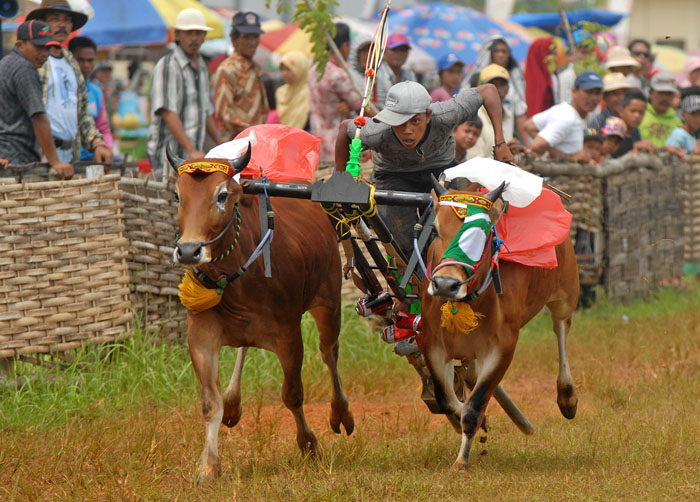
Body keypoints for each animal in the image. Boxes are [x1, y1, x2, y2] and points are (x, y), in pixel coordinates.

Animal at [167, 148, 352, 482]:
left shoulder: (289, 334)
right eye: (178, 195)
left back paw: (341, 412)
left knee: (329, 353)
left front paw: (309, 444)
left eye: (222, 194)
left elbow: (292, 394)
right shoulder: (200, 336)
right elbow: (209, 404)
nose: (188, 251)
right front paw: (208, 466)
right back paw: (232, 402)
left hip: (328, 302)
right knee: (244, 348)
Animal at [422, 178, 580, 468]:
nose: (446, 284)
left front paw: (461, 461)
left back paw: (567, 397)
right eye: (435, 230)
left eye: (482, 234)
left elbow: (474, 405)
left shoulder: (502, 348)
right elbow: (448, 400)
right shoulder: (432, 345)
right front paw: (476, 424)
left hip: (566, 293)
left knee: (561, 330)